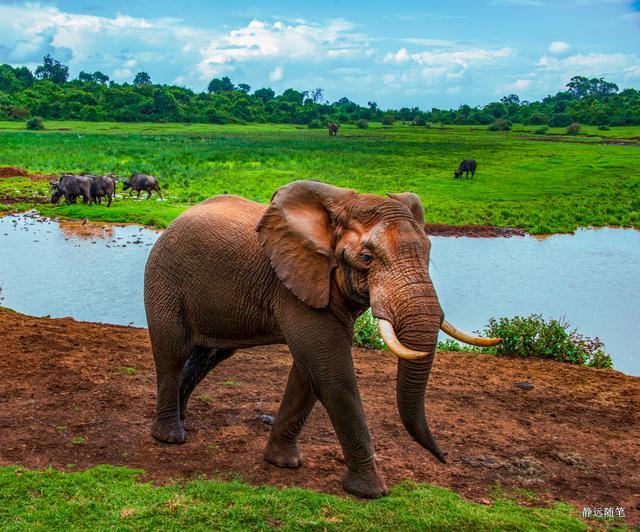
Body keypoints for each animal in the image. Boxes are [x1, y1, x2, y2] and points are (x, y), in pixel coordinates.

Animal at [145, 180, 500, 498]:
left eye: (427, 254)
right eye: (366, 258)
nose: (445, 458)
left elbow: (309, 370)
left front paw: (283, 463)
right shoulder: (294, 285)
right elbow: (330, 368)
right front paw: (370, 491)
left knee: (208, 355)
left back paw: (182, 418)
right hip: (164, 277)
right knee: (172, 353)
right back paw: (170, 437)